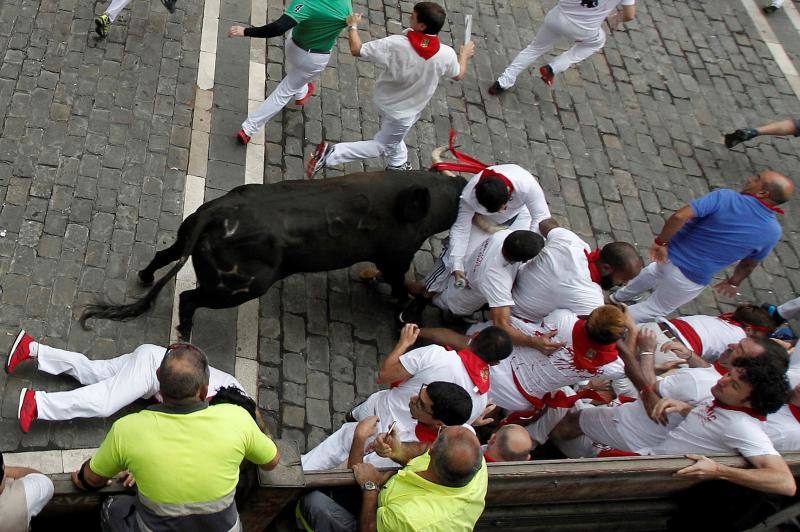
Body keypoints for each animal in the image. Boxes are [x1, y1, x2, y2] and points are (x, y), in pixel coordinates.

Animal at [80, 170, 462, 336]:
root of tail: (216, 213)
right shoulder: (397, 256)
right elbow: (398, 283)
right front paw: (403, 306)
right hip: (237, 288)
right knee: (188, 299)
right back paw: (185, 333)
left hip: (184, 239)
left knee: (162, 257)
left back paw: (145, 277)